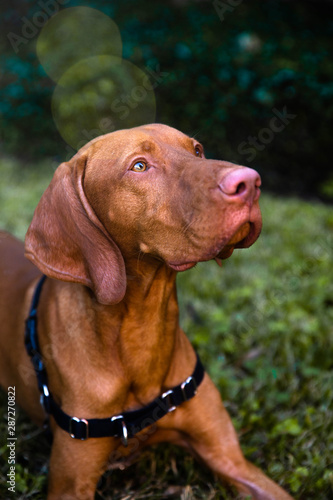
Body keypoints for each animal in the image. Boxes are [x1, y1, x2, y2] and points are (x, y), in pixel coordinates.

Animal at [0, 123, 292, 498]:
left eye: (197, 150)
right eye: (139, 166)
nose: (250, 182)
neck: (143, 325)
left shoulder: (232, 460)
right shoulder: (70, 485)